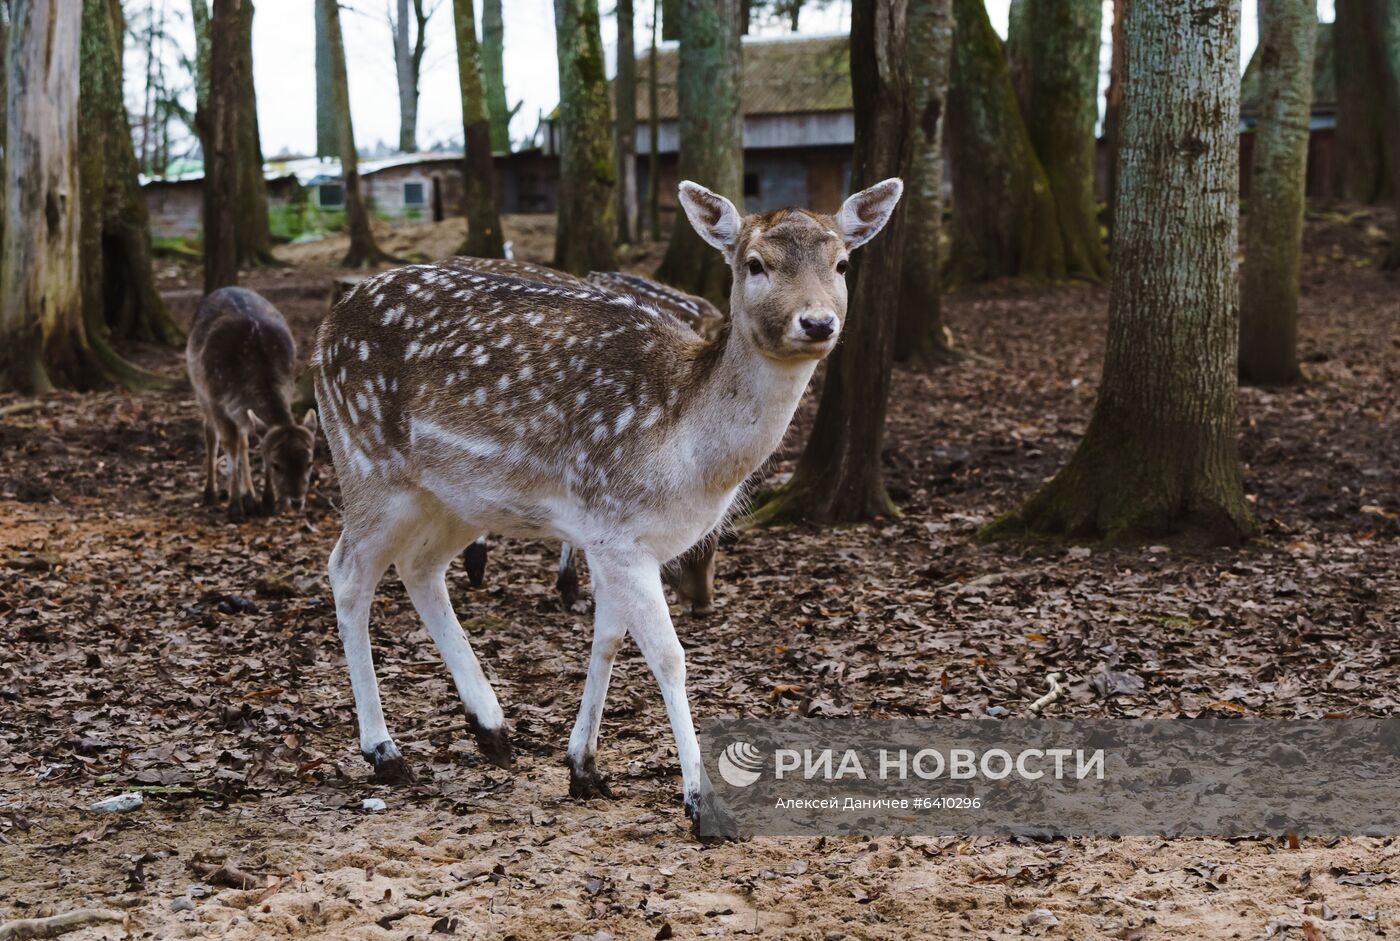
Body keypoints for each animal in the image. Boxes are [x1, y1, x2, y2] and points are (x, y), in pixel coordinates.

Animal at [184, 287, 316, 520]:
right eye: (277, 465)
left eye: (309, 463)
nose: (296, 501)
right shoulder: (217, 400)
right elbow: (229, 446)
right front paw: (235, 508)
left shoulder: (288, 387)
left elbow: (255, 443)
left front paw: (267, 502)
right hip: (200, 389)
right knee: (211, 434)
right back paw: (210, 494)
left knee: (244, 438)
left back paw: (250, 497)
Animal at [312, 178, 901, 840]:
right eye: (755, 264)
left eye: (842, 263)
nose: (818, 321)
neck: (686, 454)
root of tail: (325, 330)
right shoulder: (619, 531)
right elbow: (669, 657)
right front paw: (700, 804)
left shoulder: (609, 536)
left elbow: (608, 640)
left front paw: (583, 768)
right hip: (366, 462)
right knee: (348, 572)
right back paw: (384, 752)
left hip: (455, 496)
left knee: (420, 568)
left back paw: (492, 729)